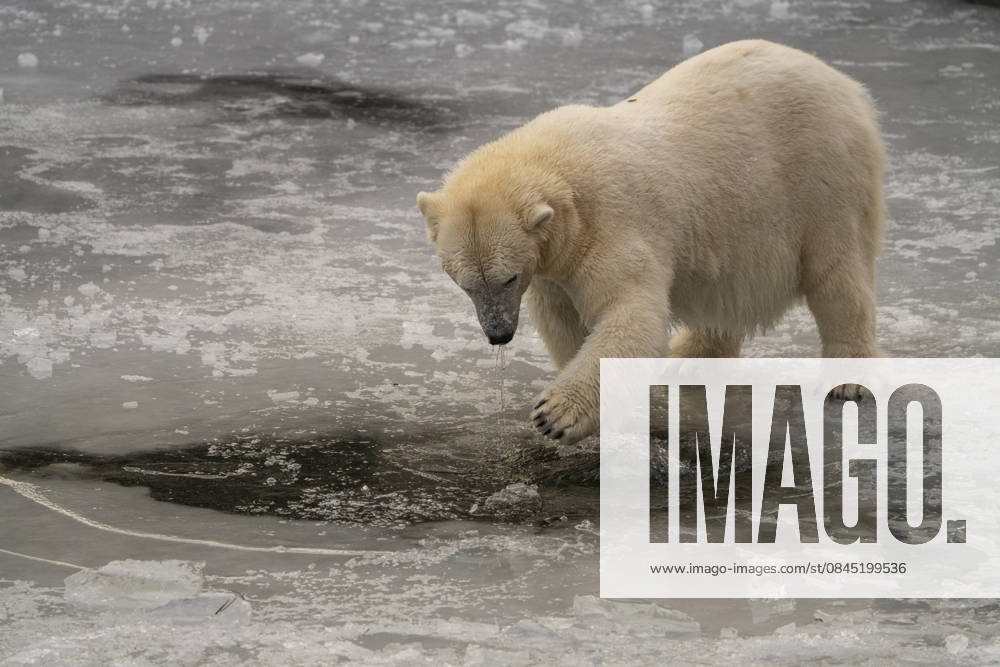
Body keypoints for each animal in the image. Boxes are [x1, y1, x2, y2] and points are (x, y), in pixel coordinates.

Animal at [417, 40, 885, 445]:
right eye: (465, 284)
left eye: (508, 278)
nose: (499, 334)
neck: (563, 172)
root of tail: (849, 86)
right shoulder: (552, 266)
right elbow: (563, 320)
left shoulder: (611, 223)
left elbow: (630, 312)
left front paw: (554, 415)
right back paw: (690, 354)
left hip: (820, 179)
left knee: (836, 276)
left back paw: (847, 380)